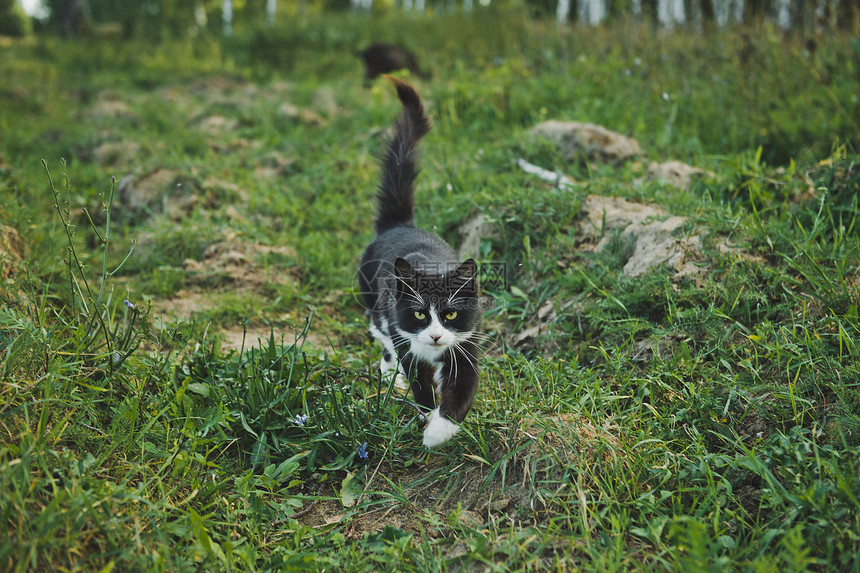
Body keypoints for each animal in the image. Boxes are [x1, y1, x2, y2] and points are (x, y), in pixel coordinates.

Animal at [358, 77, 484, 446]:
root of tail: (400, 224)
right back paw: (391, 376)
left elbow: (462, 390)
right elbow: (420, 383)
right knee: (382, 338)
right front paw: (426, 417)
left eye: (451, 314)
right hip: (373, 300)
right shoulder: (406, 340)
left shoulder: (466, 346)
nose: (436, 336)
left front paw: (438, 432)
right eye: (418, 314)